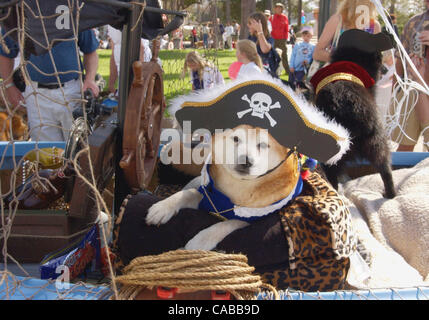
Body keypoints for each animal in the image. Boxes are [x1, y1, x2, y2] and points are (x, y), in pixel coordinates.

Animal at [145, 124, 300, 251]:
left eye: (262, 145)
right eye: (236, 138)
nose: (246, 161)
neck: (237, 185)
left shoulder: (252, 219)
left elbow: (229, 223)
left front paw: (201, 240)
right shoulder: (207, 196)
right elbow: (189, 194)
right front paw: (163, 207)